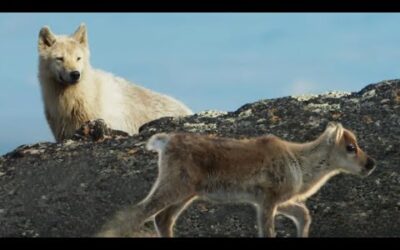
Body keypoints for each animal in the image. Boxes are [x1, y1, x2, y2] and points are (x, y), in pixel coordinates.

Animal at [97, 122, 376, 237]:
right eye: (351, 147)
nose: (371, 164)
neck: (300, 163)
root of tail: (164, 142)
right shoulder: (267, 200)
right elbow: (268, 231)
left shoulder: (277, 200)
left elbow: (303, 214)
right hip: (173, 187)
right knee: (137, 213)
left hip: (186, 193)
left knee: (161, 219)